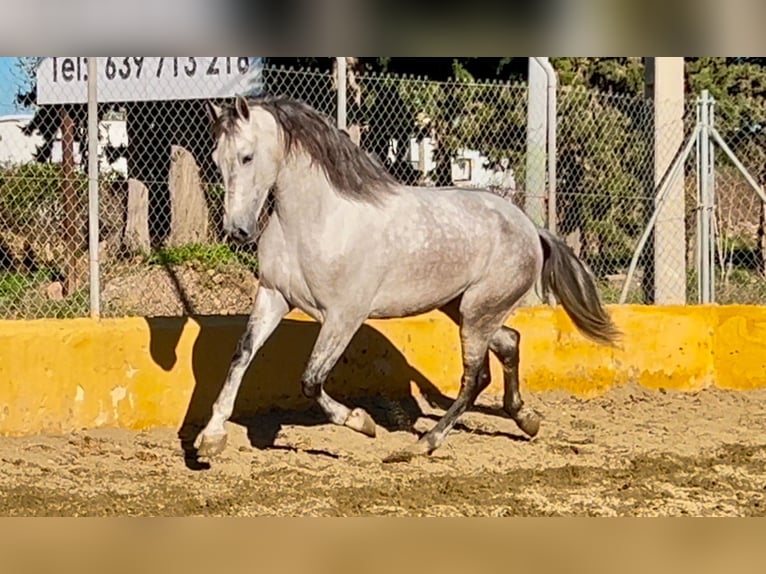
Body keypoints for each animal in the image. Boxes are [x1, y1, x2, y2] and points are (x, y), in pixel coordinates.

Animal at [195, 94, 620, 464]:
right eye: (216, 158)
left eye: (247, 156)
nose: (237, 230)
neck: (317, 221)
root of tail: (531, 228)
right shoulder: (273, 297)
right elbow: (241, 356)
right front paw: (209, 440)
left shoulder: (343, 316)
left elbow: (311, 380)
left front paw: (362, 423)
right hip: (462, 309)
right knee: (510, 343)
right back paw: (526, 419)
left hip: (477, 314)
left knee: (475, 377)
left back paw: (424, 444)